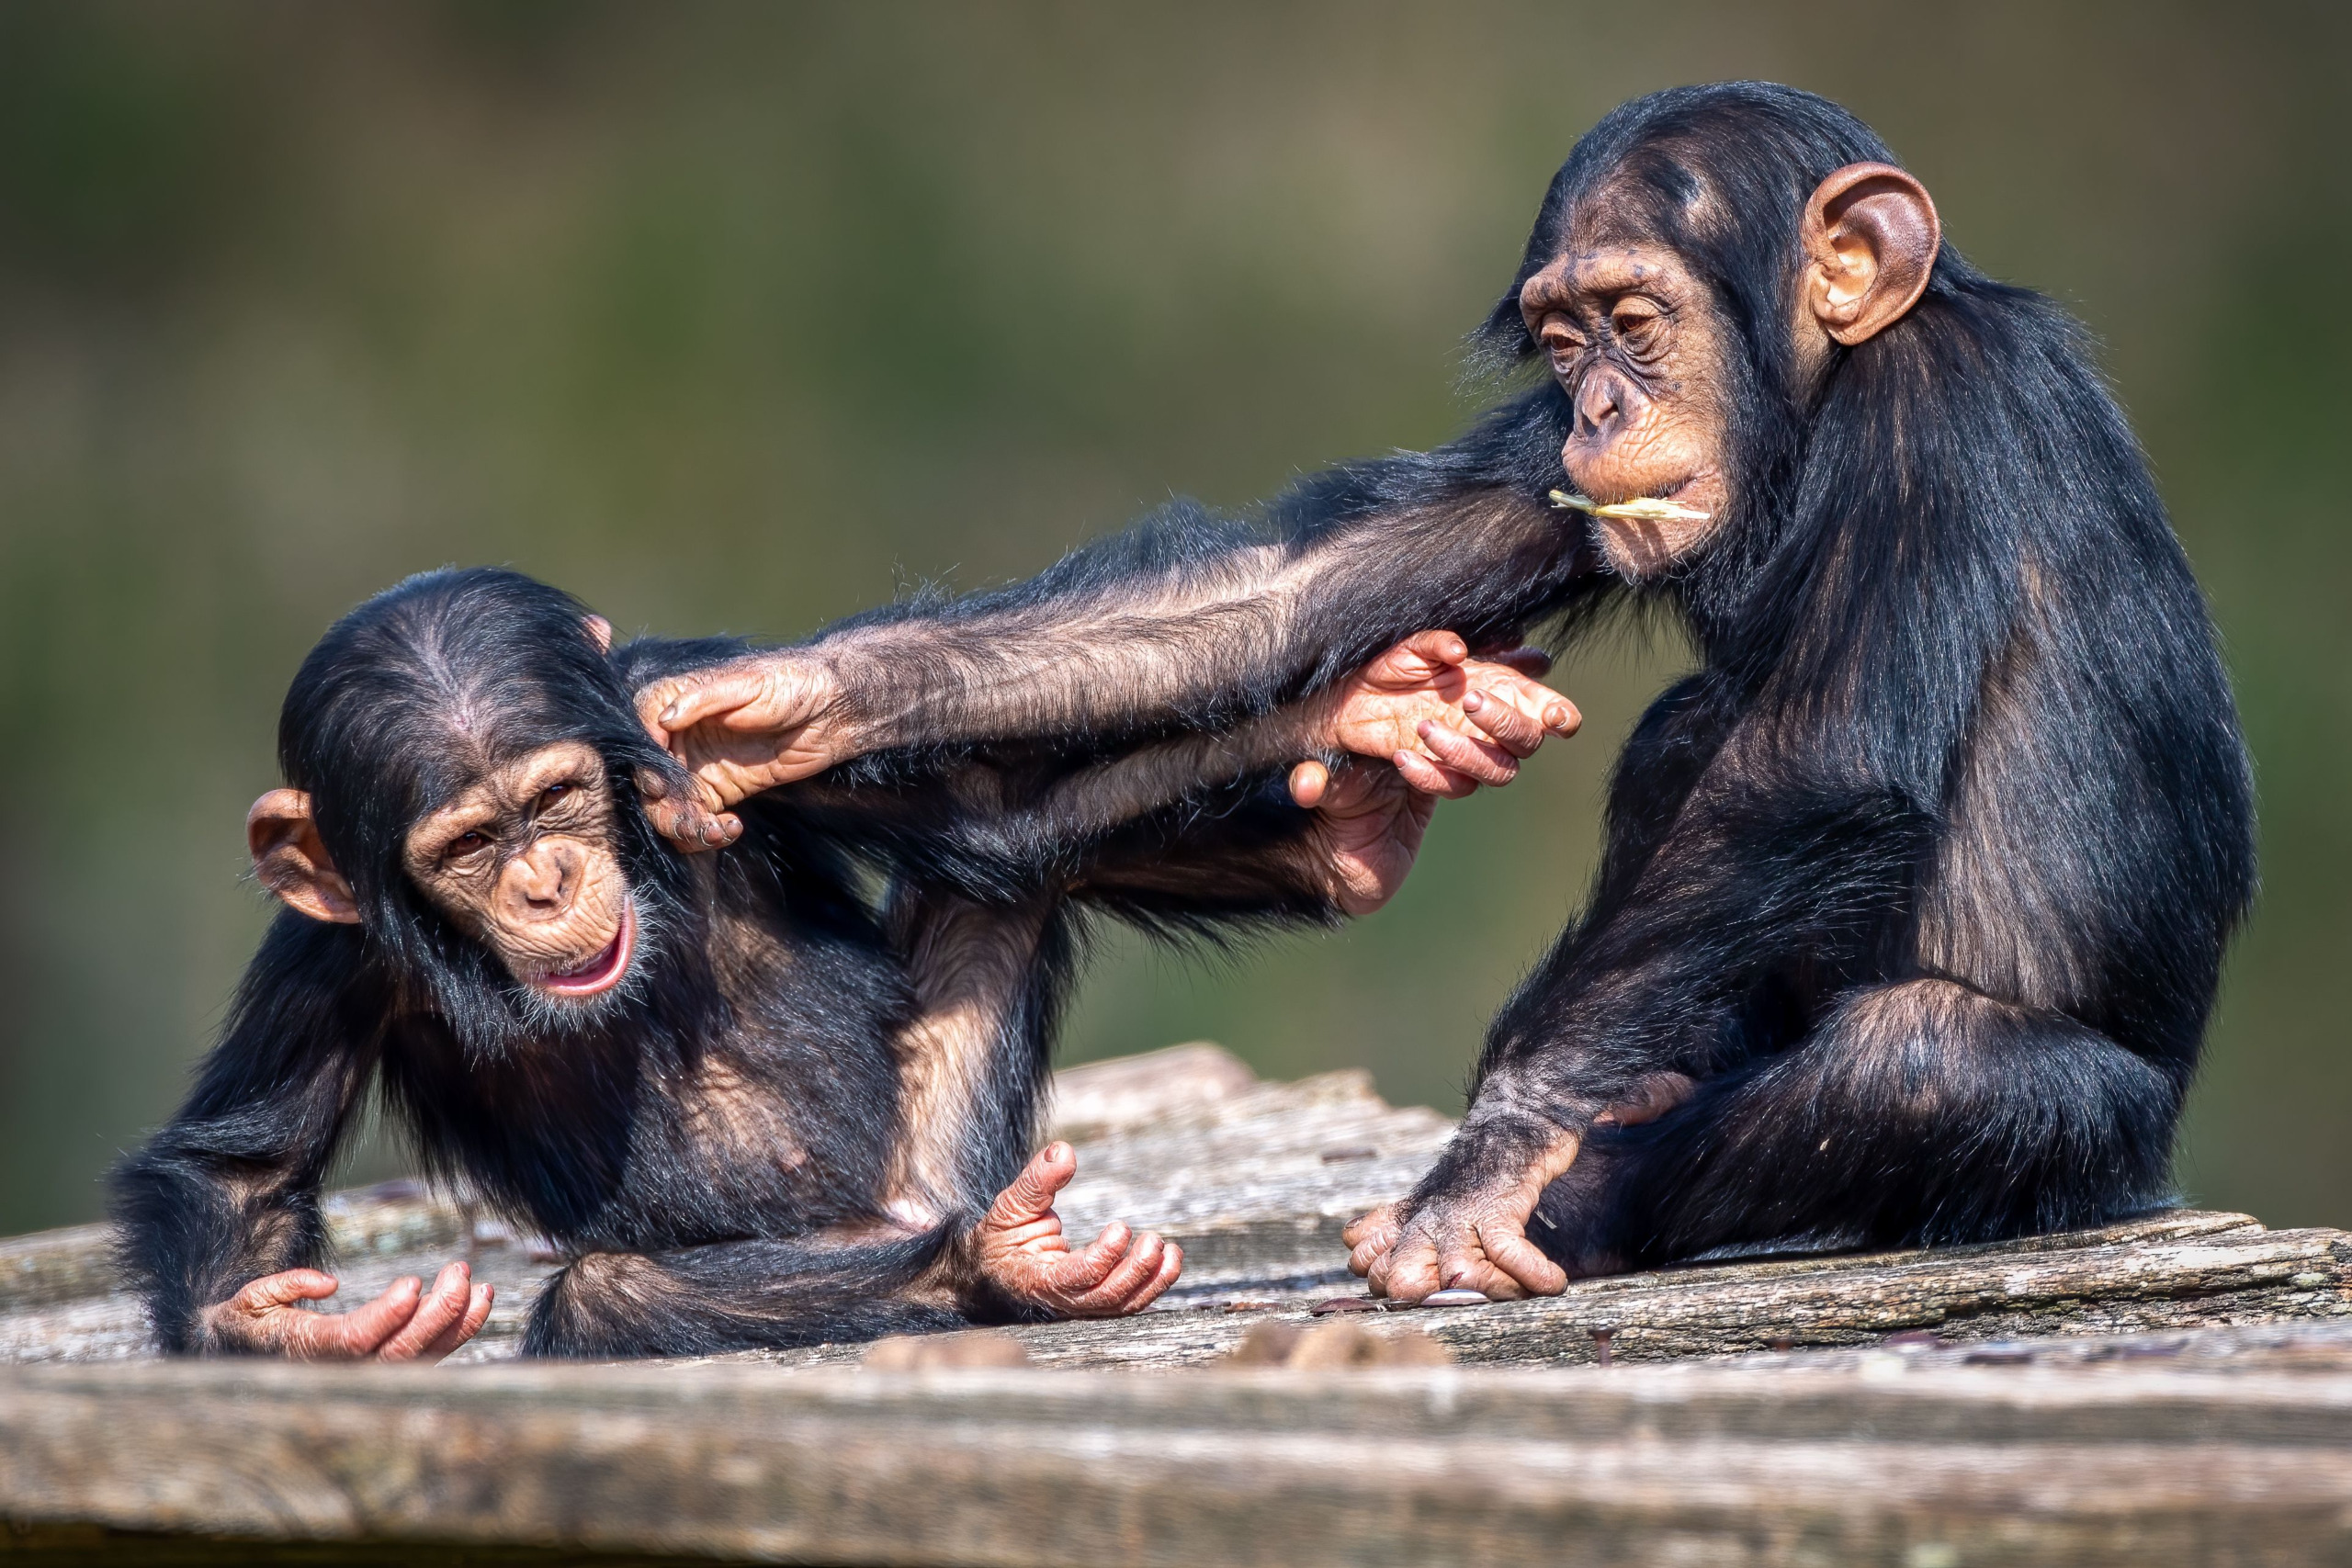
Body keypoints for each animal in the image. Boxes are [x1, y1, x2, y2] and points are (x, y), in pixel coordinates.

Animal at [635, 88, 2248, 1316]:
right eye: (1565, 339)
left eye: (1636, 318)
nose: (1600, 407)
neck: (1822, 400)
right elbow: (1286, 593)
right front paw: (766, 713)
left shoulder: (1938, 414)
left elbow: (1820, 762)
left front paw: (1495, 1158)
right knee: (1684, 737)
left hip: (2096, 1147)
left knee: (1928, 1061)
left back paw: (1595, 1190)